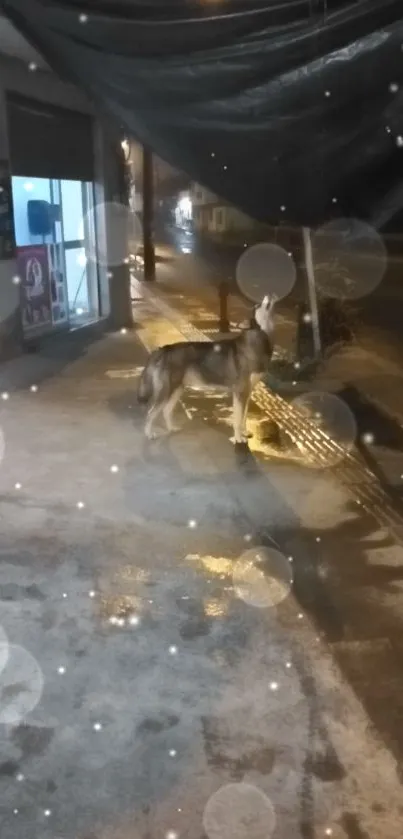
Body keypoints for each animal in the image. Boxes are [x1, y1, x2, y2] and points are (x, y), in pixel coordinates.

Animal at [139, 292, 278, 442]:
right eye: (258, 306)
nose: (268, 294)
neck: (260, 338)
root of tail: (162, 349)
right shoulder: (240, 391)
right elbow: (237, 419)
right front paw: (238, 438)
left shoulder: (248, 392)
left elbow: (244, 418)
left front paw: (244, 432)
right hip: (166, 390)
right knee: (151, 412)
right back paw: (149, 433)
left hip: (177, 389)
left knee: (166, 410)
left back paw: (172, 428)